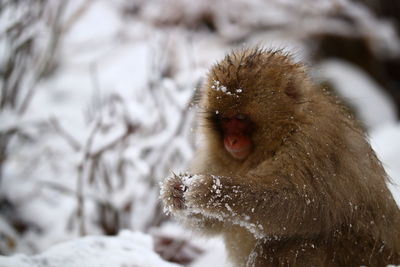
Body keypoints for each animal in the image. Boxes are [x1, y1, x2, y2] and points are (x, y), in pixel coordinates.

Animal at [159, 48, 400, 267]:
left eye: (240, 118)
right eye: (225, 120)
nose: (232, 141)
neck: (284, 132)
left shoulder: (313, 142)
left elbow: (302, 204)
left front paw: (211, 190)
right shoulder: (215, 157)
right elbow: (216, 222)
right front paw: (176, 192)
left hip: (363, 254)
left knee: (285, 246)